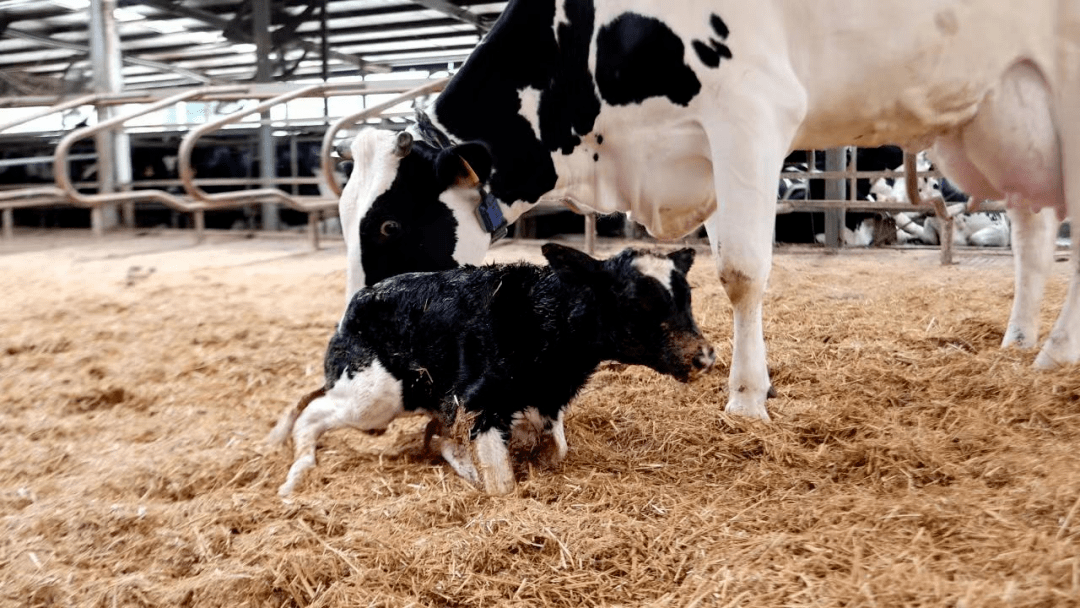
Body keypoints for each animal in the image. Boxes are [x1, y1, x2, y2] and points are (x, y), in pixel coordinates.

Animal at [267, 245, 717, 496]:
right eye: (638, 303)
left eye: (687, 297)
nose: (705, 356)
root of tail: (354, 306)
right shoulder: (478, 403)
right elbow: (501, 485)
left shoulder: (544, 402)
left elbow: (555, 448)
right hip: (374, 396)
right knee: (312, 413)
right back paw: (295, 474)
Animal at [339, 1, 1080, 423]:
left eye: (389, 223)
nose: (364, 326)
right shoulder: (703, 155)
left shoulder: (751, 111)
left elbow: (742, 273)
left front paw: (746, 398)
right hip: (1006, 122)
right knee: (1032, 232)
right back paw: (1019, 339)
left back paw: (1055, 353)